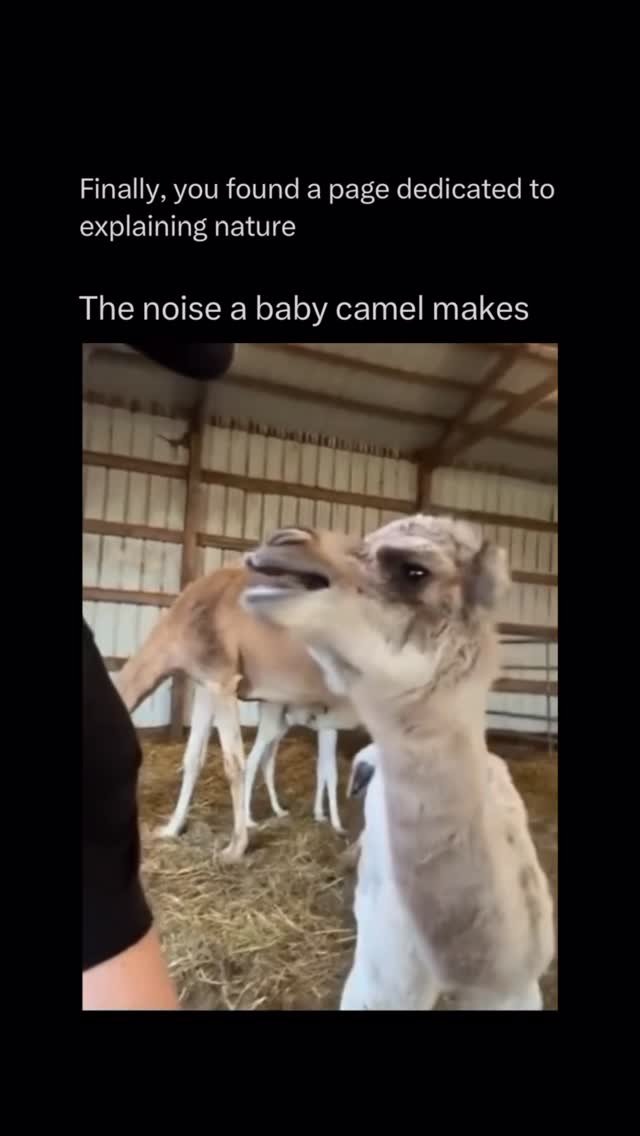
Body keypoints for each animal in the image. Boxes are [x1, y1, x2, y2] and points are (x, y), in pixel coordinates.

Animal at [114, 535, 360, 861]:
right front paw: (170, 829)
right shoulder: (205, 683)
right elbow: (193, 758)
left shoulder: (223, 679)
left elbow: (234, 764)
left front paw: (234, 848)